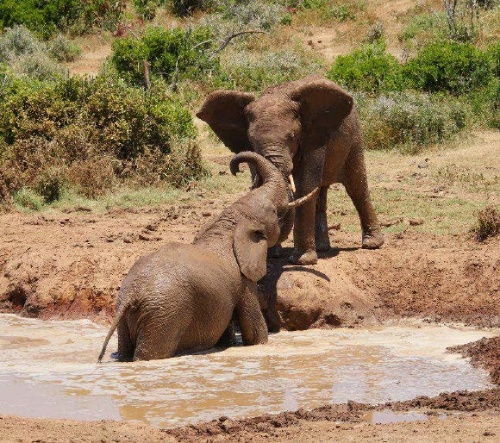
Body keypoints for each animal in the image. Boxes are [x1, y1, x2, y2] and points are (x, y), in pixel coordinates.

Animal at [97, 151, 316, 362]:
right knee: (149, 354)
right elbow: (254, 331)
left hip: (128, 315)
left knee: (125, 351)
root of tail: (131, 296)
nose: (235, 168)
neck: (230, 223)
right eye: (273, 211)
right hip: (164, 315)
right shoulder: (243, 282)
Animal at [197, 74, 384, 266]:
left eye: (292, 137)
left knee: (356, 187)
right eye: (252, 140)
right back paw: (322, 248)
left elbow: (305, 187)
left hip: (355, 138)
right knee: (321, 195)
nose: (235, 169)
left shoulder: (312, 137)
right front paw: (271, 255)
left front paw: (302, 261)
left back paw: (371, 244)